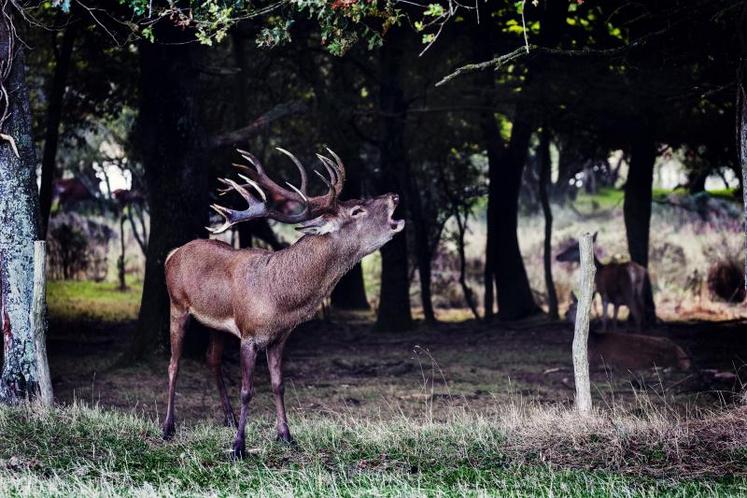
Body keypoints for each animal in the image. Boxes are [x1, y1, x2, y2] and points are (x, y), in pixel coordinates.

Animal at [161, 149, 406, 460]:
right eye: (356, 210)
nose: (394, 195)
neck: (280, 299)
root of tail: (173, 253)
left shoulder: (279, 337)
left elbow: (279, 385)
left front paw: (287, 436)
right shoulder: (249, 334)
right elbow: (247, 390)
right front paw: (238, 447)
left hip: (216, 324)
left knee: (211, 359)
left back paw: (228, 418)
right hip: (177, 304)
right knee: (173, 364)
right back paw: (168, 427)